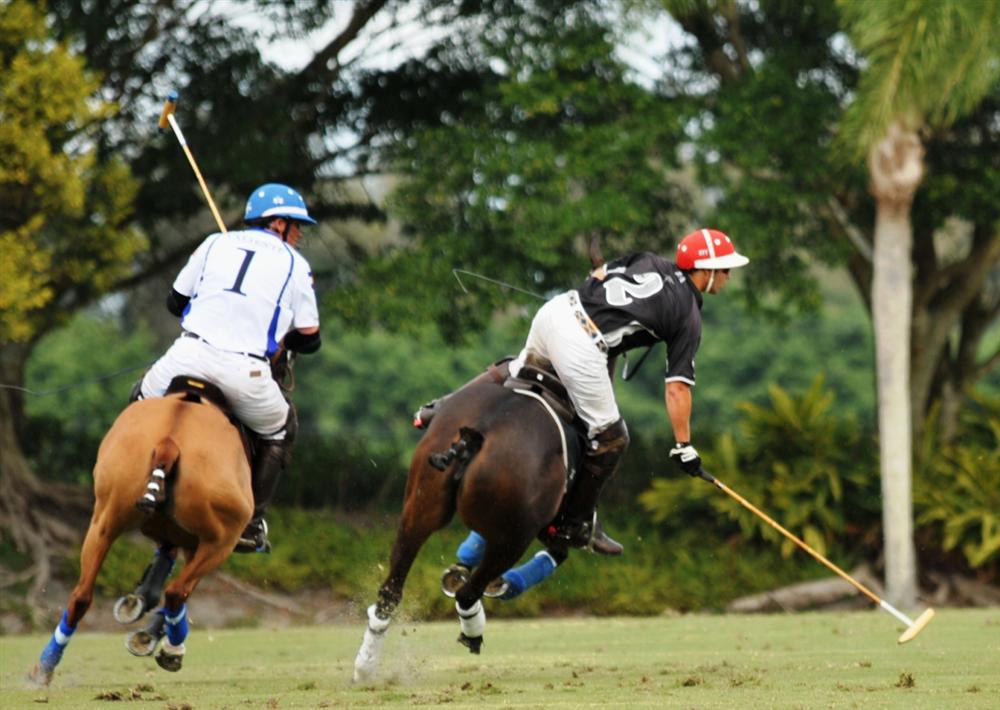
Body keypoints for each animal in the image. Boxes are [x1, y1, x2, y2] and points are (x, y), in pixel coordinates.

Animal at [29, 377, 253, 685]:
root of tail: (169, 442)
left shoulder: (175, 535)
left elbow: (164, 564)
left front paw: (141, 607)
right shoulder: (198, 541)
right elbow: (177, 586)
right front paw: (152, 631)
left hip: (104, 519)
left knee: (82, 595)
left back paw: (45, 666)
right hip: (222, 539)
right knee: (177, 591)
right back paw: (172, 649)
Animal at [353, 361, 582, 682]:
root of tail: (474, 436)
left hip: (420, 508)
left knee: (390, 591)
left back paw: (365, 665)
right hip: (512, 537)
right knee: (469, 590)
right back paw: (474, 629)